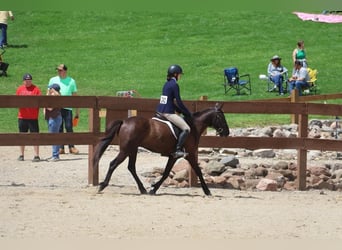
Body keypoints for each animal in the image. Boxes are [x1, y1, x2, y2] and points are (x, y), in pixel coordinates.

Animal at [93, 102, 230, 196]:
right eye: (221, 117)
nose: (227, 132)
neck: (193, 127)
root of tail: (124, 122)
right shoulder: (190, 154)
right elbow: (198, 171)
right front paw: (207, 191)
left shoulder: (173, 156)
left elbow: (165, 173)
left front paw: (153, 188)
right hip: (126, 150)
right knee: (113, 164)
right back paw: (102, 186)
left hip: (132, 149)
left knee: (131, 167)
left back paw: (142, 189)